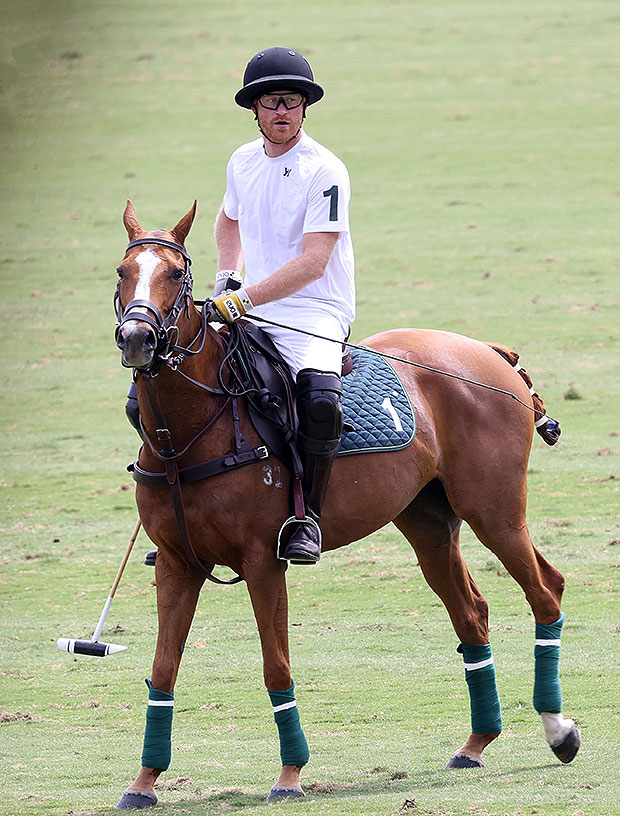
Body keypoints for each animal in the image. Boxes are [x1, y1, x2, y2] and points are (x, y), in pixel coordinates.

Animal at [113, 201, 579, 809]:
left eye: (175, 275)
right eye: (122, 272)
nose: (137, 338)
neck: (188, 435)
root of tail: (494, 355)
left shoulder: (263, 560)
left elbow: (276, 667)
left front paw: (290, 777)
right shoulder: (177, 563)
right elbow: (163, 670)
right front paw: (143, 783)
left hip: (494, 510)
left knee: (546, 591)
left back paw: (559, 730)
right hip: (428, 522)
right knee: (472, 612)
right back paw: (476, 743)